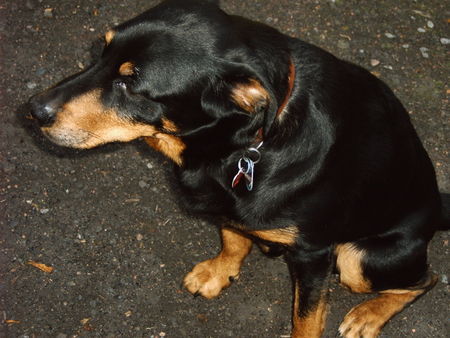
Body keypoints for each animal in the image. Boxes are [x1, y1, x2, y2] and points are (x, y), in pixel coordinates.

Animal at [28, 0, 446, 338]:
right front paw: (219, 271)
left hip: (358, 259)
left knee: (427, 279)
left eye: (130, 84)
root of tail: (437, 211)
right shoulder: (227, 205)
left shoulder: (313, 255)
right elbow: (232, 237)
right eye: (100, 50)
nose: (33, 110)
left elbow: (306, 319)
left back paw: (368, 315)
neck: (236, 148)